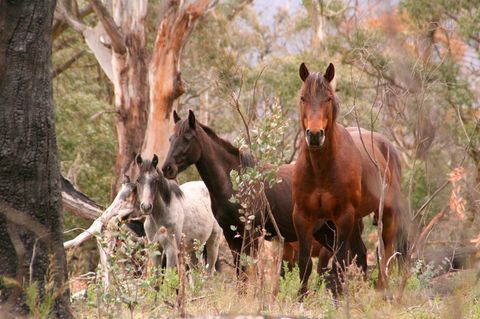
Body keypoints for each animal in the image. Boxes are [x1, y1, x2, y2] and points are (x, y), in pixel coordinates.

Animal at [159, 110, 366, 278]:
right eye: (170, 139)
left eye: (187, 138)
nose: (167, 168)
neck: (236, 182)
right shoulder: (231, 234)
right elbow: (240, 271)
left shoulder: (251, 234)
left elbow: (248, 271)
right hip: (325, 233)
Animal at [292, 63, 408, 298]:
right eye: (303, 97)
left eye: (328, 98)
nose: (315, 135)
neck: (321, 170)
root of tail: (387, 146)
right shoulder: (302, 217)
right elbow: (305, 263)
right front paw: (301, 298)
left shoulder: (343, 217)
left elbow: (339, 262)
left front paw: (338, 297)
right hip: (356, 220)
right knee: (362, 253)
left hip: (386, 214)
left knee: (386, 250)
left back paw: (381, 288)